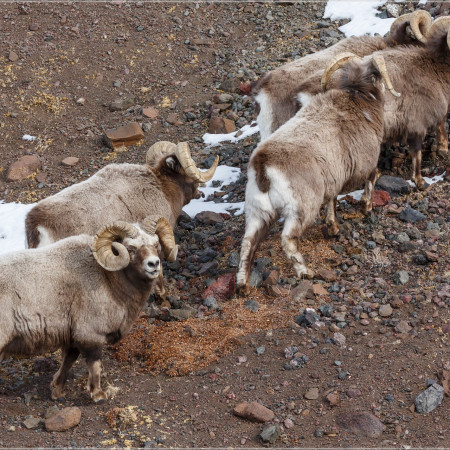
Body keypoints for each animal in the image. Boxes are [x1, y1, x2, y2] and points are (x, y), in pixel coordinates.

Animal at [0, 217, 176, 400]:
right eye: (130, 248)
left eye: (155, 244)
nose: (154, 264)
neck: (109, 280)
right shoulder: (91, 335)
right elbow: (95, 365)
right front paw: (98, 395)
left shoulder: (73, 337)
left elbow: (69, 360)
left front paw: (57, 390)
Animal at [237, 54, 396, 294]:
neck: (359, 100)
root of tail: (263, 165)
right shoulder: (365, 165)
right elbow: (371, 179)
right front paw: (367, 208)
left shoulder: (333, 180)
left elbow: (331, 201)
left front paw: (333, 228)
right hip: (300, 211)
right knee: (288, 240)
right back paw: (306, 272)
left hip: (258, 213)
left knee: (248, 243)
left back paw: (242, 285)